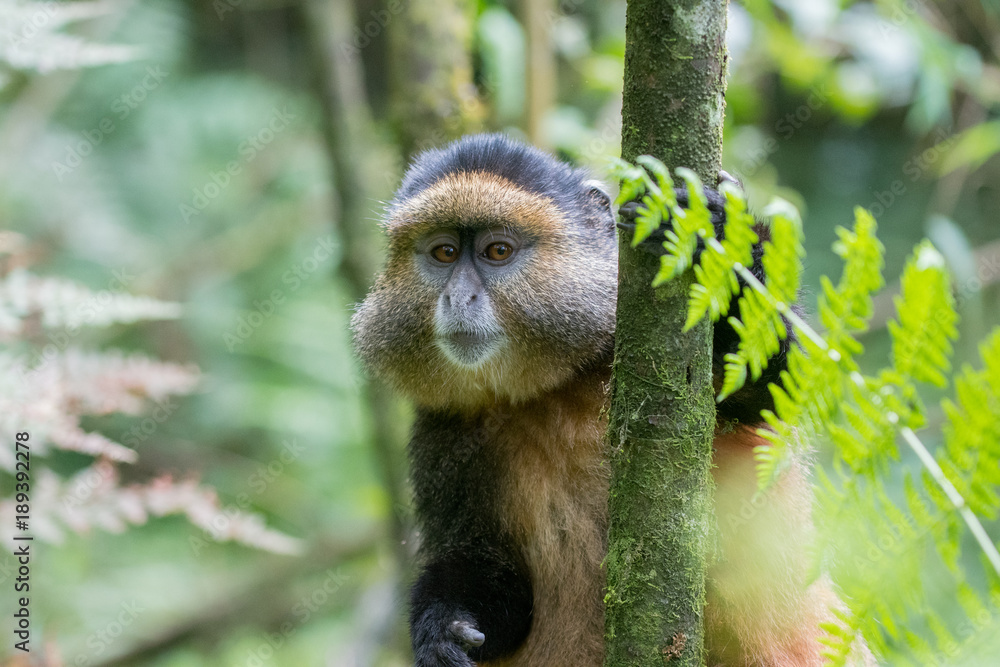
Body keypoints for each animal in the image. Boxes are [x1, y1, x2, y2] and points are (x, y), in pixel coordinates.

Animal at [351, 133, 871, 666]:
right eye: (444, 252)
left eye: (497, 250)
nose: (458, 298)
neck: (551, 389)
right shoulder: (445, 432)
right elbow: (489, 573)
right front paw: (443, 631)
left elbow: (782, 389)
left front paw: (719, 234)